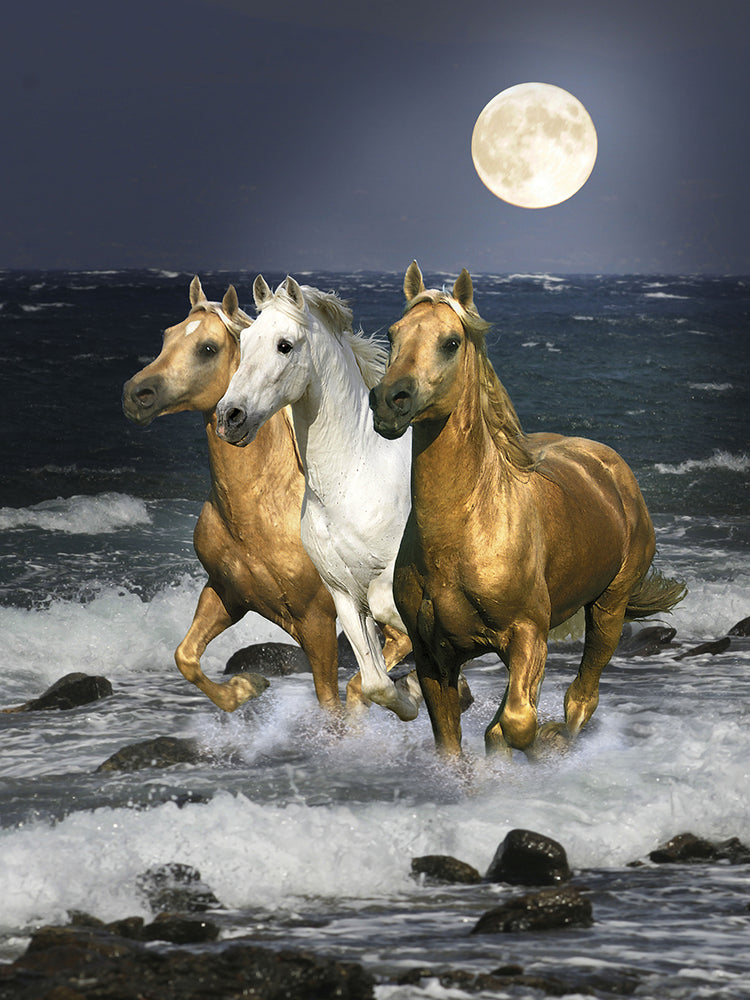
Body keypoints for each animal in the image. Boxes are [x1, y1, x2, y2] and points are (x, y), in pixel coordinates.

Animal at [122, 276, 346, 712]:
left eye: (207, 348)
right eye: (167, 336)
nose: (136, 394)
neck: (262, 512)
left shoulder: (318, 622)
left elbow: (334, 704)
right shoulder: (226, 594)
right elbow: (185, 656)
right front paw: (245, 688)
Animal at [214, 275, 422, 721]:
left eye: (284, 345)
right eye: (245, 341)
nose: (230, 417)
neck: (355, 478)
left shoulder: (391, 574)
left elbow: (387, 605)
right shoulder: (342, 593)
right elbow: (375, 682)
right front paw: (411, 696)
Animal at [369, 261, 685, 757]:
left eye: (451, 342)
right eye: (393, 333)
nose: (389, 400)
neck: (464, 533)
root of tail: (612, 468)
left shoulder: (528, 633)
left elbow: (518, 723)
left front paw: (519, 740)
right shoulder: (432, 656)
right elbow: (453, 742)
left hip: (608, 609)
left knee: (582, 696)